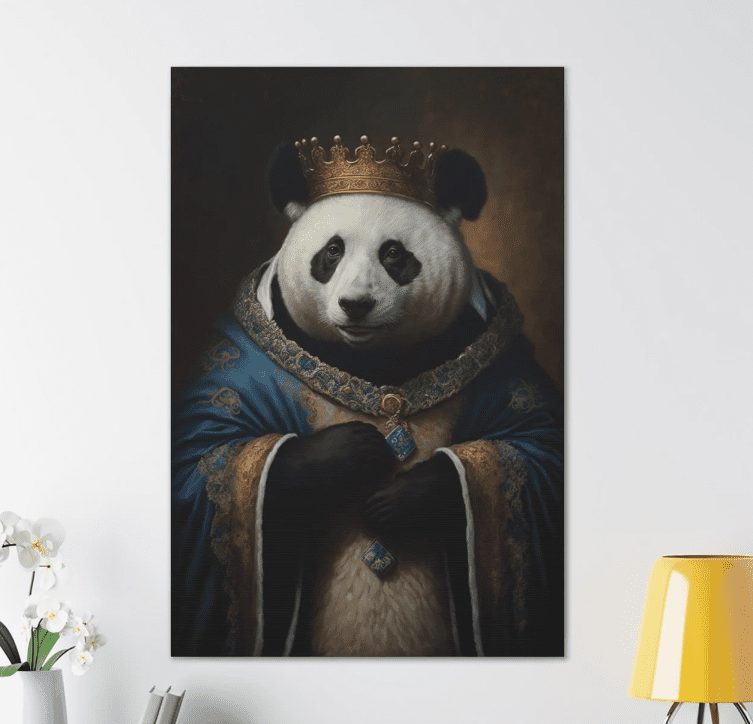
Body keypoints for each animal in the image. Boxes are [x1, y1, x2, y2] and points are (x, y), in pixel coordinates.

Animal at [171, 136, 564, 658]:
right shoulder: (238, 363)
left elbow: (532, 450)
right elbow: (207, 459)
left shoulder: (500, 359)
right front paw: (347, 452)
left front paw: (405, 496)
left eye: (394, 254)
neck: (375, 363)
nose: (356, 305)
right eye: (332, 252)